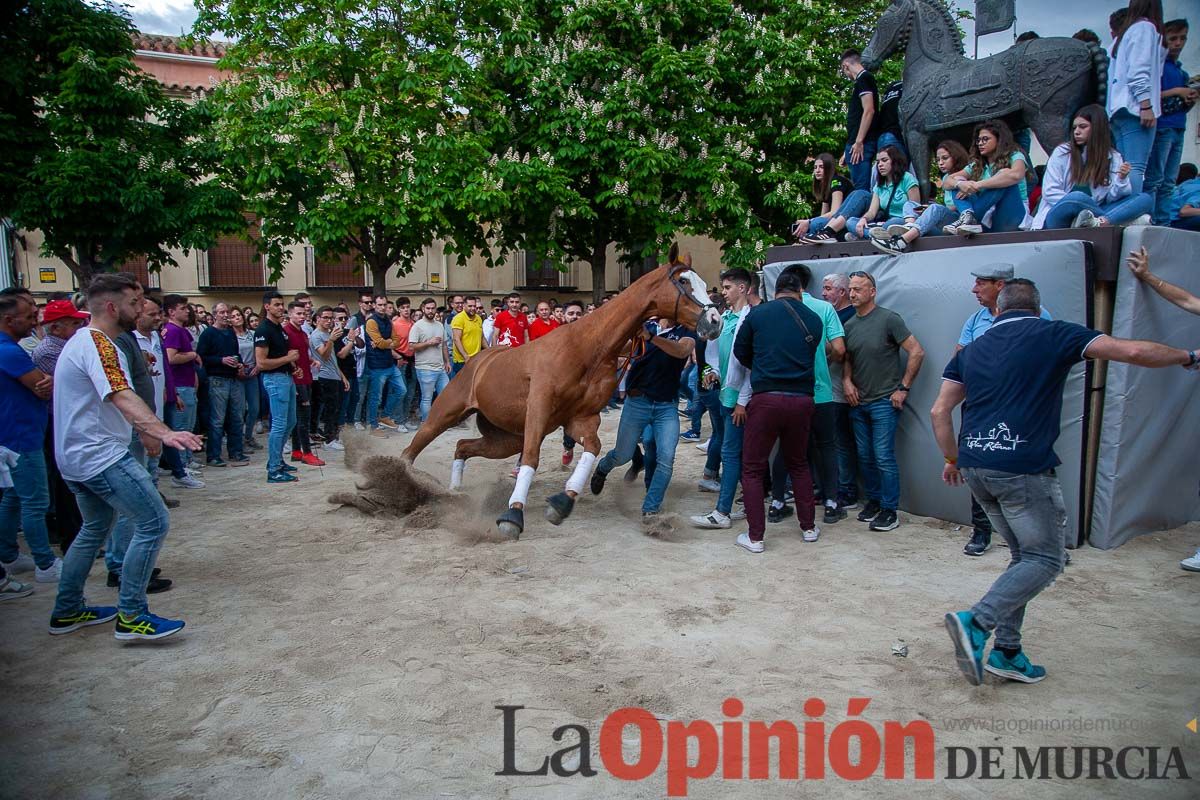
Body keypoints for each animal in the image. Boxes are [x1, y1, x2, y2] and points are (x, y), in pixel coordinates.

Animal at [400, 251, 720, 537]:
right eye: (684, 281)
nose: (715, 320)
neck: (587, 348)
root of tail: (477, 361)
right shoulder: (539, 411)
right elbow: (531, 459)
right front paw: (513, 515)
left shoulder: (580, 419)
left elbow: (593, 448)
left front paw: (562, 502)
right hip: (446, 413)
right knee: (412, 450)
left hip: (504, 437)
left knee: (463, 446)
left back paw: (454, 492)